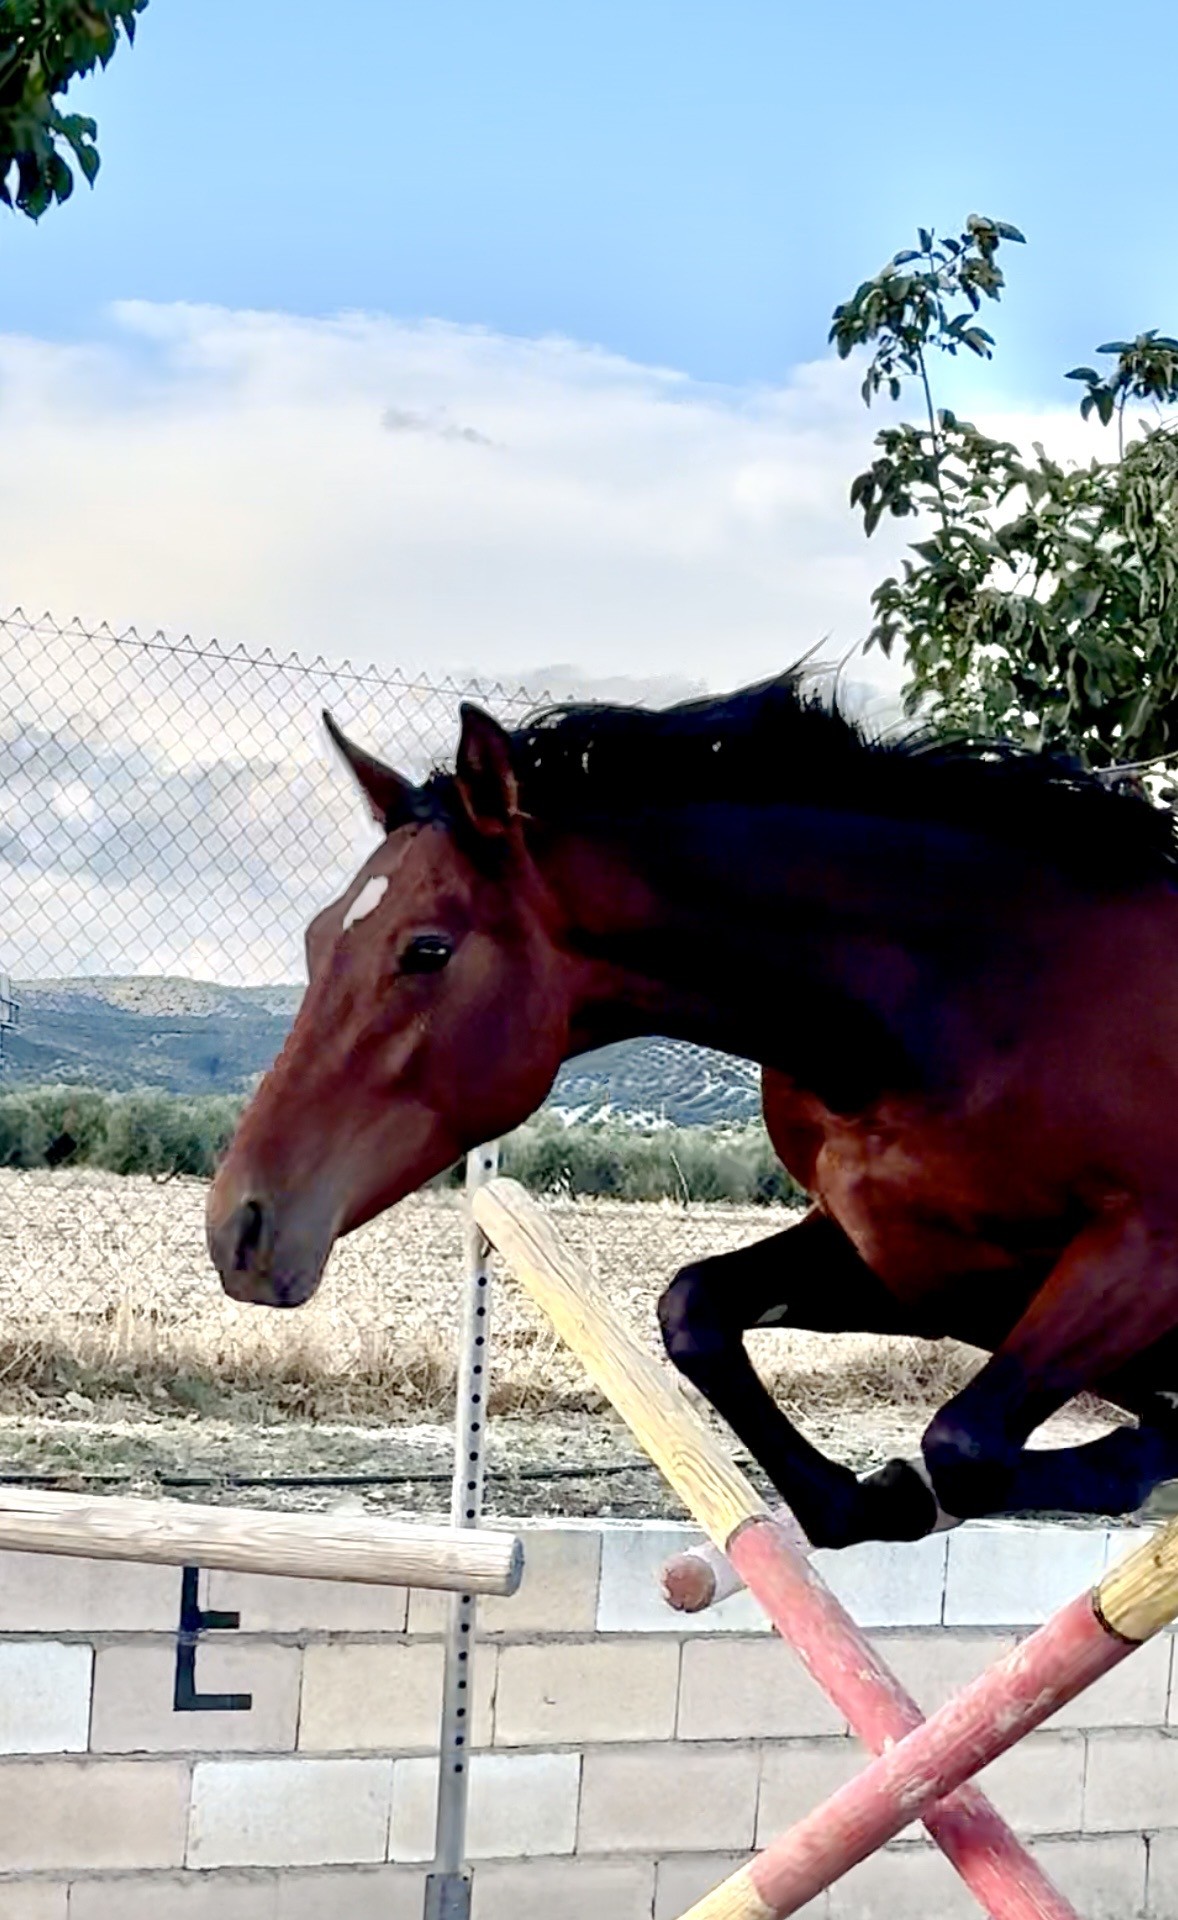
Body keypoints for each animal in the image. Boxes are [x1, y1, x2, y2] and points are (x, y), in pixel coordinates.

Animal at [206, 675, 1178, 1548]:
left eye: (428, 950)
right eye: (317, 938)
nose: (241, 1232)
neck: (982, 996)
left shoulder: (1137, 1254)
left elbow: (968, 1446)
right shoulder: (906, 1261)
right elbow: (696, 1309)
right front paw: (872, 1498)